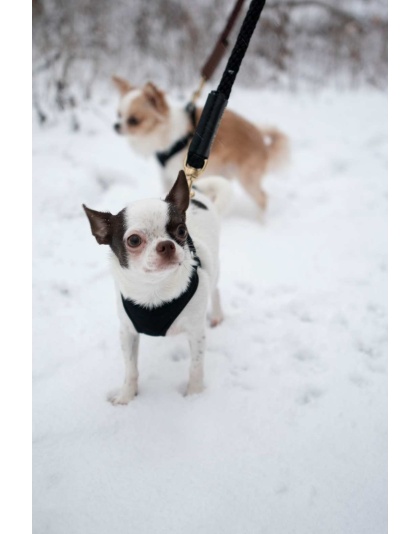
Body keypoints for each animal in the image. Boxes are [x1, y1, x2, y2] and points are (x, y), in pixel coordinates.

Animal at [83, 173, 231, 406]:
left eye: (181, 231)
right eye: (134, 240)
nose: (166, 244)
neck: (155, 289)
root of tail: (196, 192)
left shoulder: (196, 333)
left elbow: (196, 366)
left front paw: (195, 395)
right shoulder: (127, 333)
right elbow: (130, 368)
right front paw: (126, 397)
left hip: (213, 268)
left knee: (214, 289)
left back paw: (216, 314)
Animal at [111, 77, 288, 211]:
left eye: (133, 120)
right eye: (118, 114)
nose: (116, 126)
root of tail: (262, 141)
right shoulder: (167, 176)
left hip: (247, 177)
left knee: (262, 199)